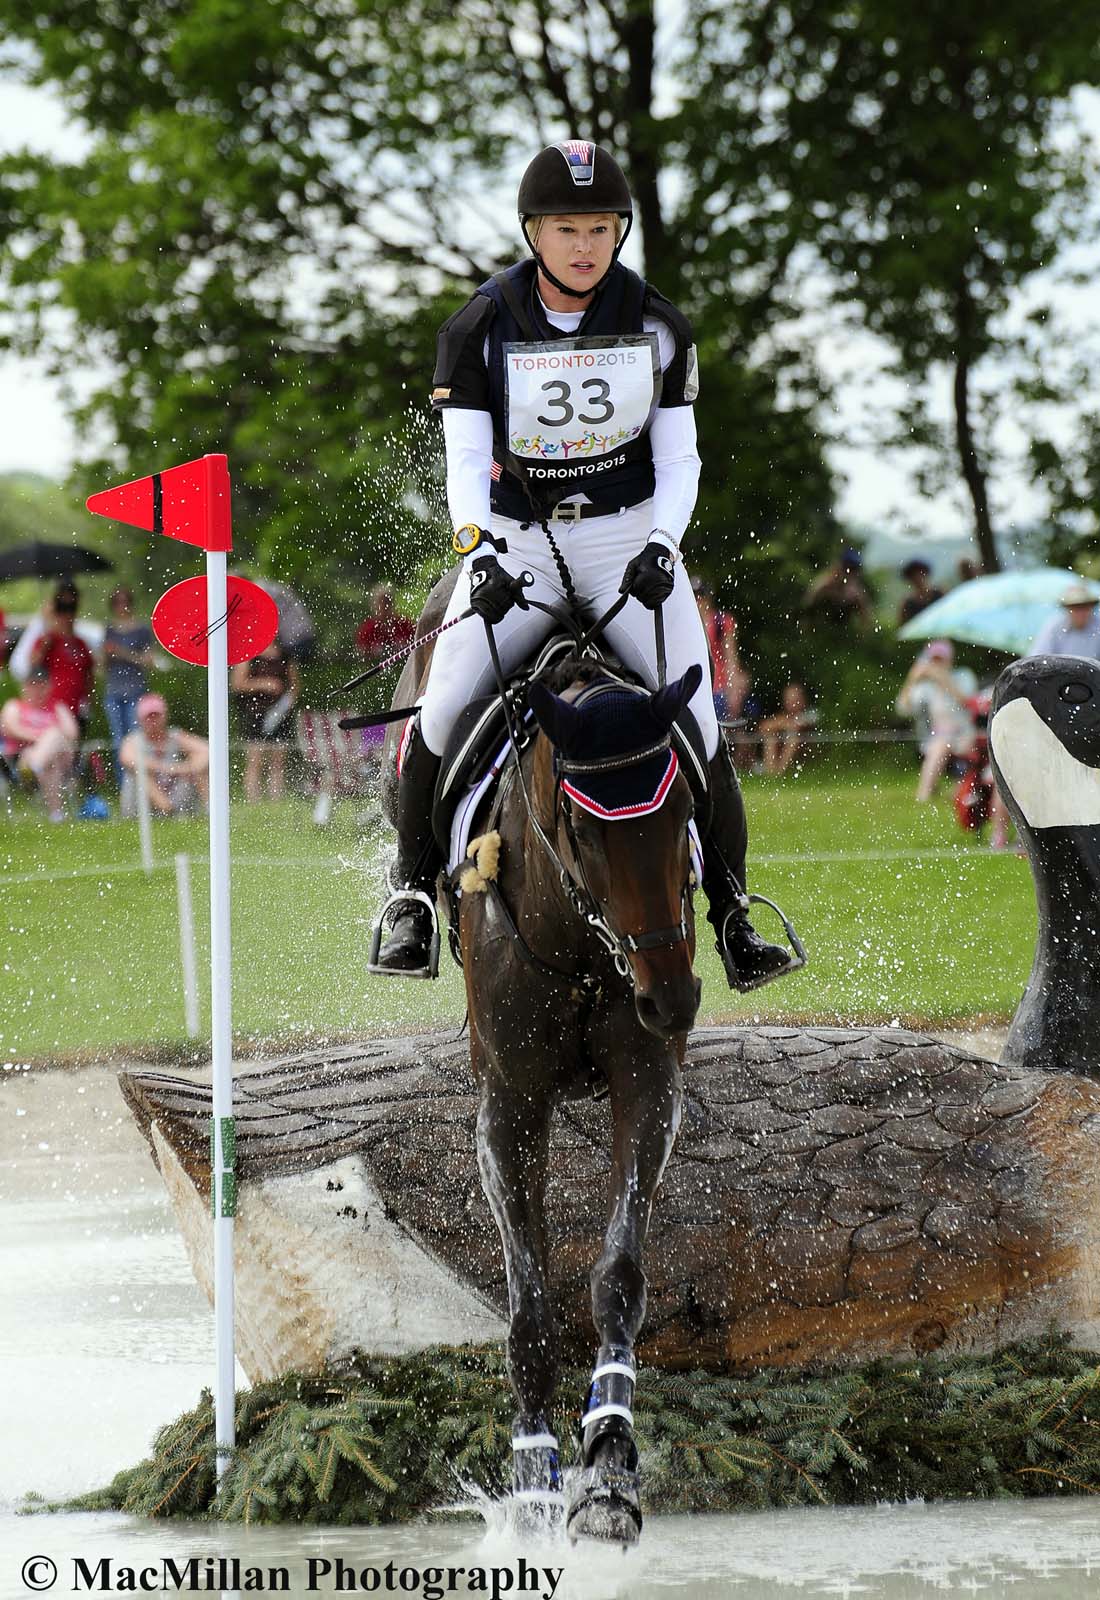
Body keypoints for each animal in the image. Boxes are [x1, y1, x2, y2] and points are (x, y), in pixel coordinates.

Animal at [382, 576, 700, 1536]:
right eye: (584, 832)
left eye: (685, 810)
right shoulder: (511, 1105)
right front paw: (532, 1477)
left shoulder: (649, 1083)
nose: (672, 996)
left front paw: (609, 1461)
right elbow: (527, 1310)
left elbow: (619, 1274)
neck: (589, 946)